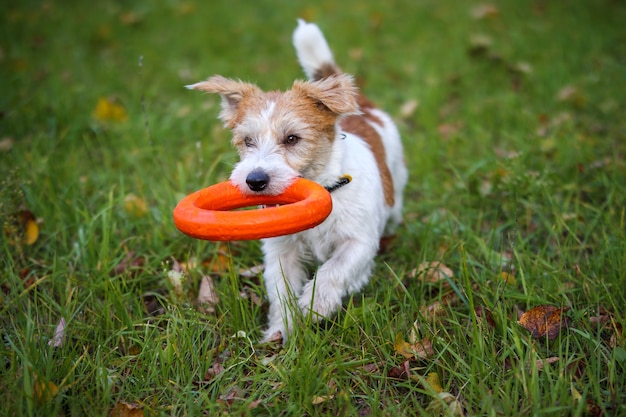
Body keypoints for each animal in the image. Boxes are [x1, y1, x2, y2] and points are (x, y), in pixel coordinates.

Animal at [185, 19, 408, 342]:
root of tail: (364, 108)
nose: (255, 180)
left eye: (292, 139)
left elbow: (334, 269)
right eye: (247, 141)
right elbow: (282, 290)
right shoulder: (281, 252)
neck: (328, 187)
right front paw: (282, 330)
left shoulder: (359, 242)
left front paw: (316, 303)